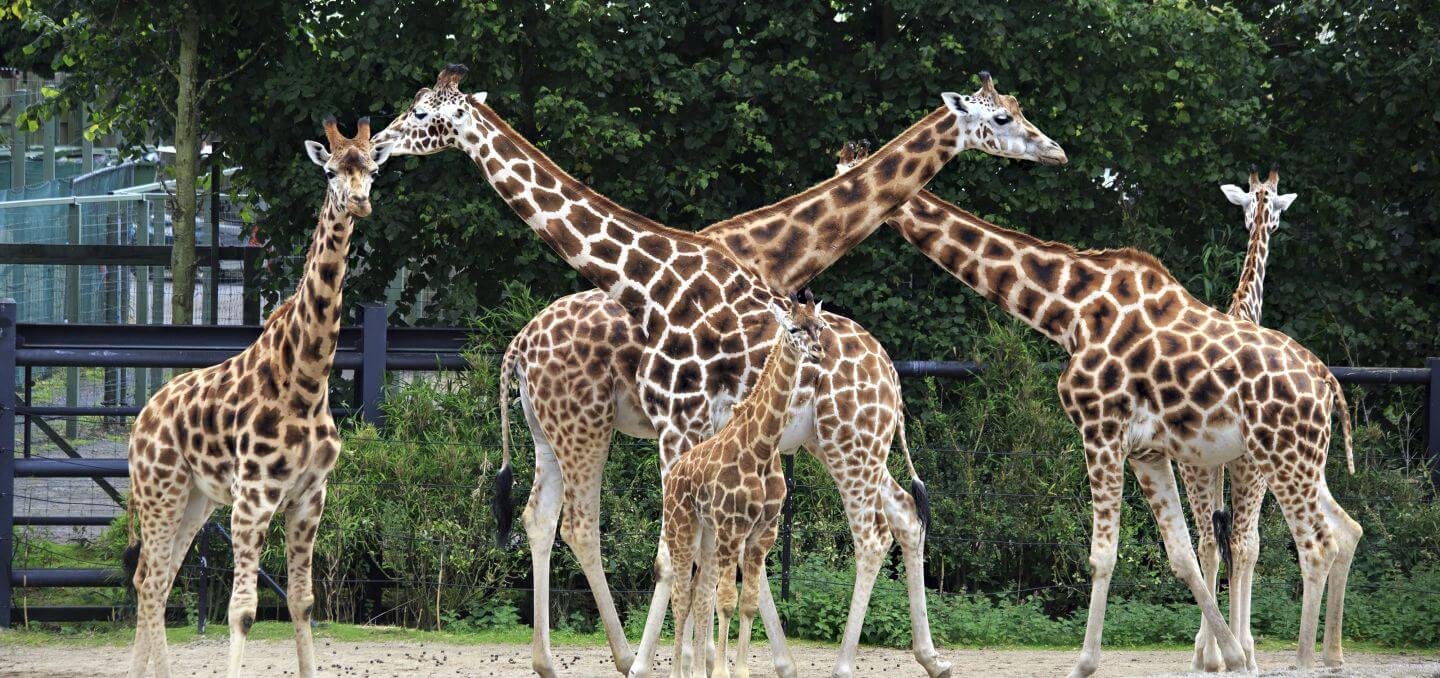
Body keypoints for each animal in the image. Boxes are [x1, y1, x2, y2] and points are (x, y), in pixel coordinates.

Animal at [122, 117, 393, 678]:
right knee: (152, 580)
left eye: (373, 170)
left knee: (155, 580)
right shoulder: (253, 498)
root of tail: (141, 420)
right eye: (331, 171)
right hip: (161, 490)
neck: (306, 380)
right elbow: (243, 611)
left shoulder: (311, 496)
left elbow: (302, 602)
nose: (359, 203)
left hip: (195, 499)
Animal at [664, 294, 827, 678]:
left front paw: (737, 670)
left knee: (698, 595)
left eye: (820, 326)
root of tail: (674, 475)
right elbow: (727, 602)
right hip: (683, 531)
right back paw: (679, 671)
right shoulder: (733, 529)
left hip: (708, 538)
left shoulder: (762, 535)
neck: (764, 447)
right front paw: (722, 672)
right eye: (793, 328)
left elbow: (748, 603)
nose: (817, 351)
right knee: (681, 597)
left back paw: (695, 672)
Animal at [858, 154, 1359, 676]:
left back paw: (1305, 660)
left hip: (1280, 457)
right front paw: (1231, 656)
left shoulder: (1100, 430)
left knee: (1314, 545)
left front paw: (1084, 663)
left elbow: (1103, 555)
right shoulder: (1146, 451)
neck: (1067, 311)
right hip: (1294, 462)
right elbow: (1182, 555)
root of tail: (1328, 382)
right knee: (1324, 536)